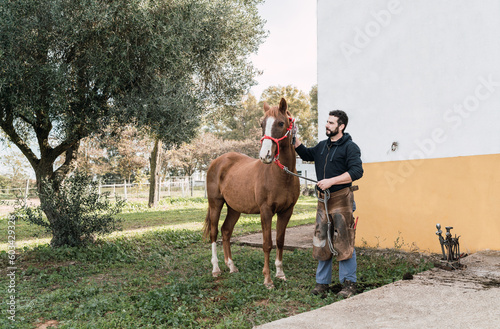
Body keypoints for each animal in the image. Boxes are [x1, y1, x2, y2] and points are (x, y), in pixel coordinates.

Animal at [203, 96, 300, 286]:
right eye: (262, 123)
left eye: (280, 123)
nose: (265, 156)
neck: (281, 175)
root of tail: (217, 161)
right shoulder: (266, 211)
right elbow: (267, 243)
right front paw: (268, 280)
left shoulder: (287, 211)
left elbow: (280, 241)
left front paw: (280, 274)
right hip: (215, 204)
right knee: (214, 232)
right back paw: (216, 269)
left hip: (234, 208)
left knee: (226, 231)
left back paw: (231, 266)